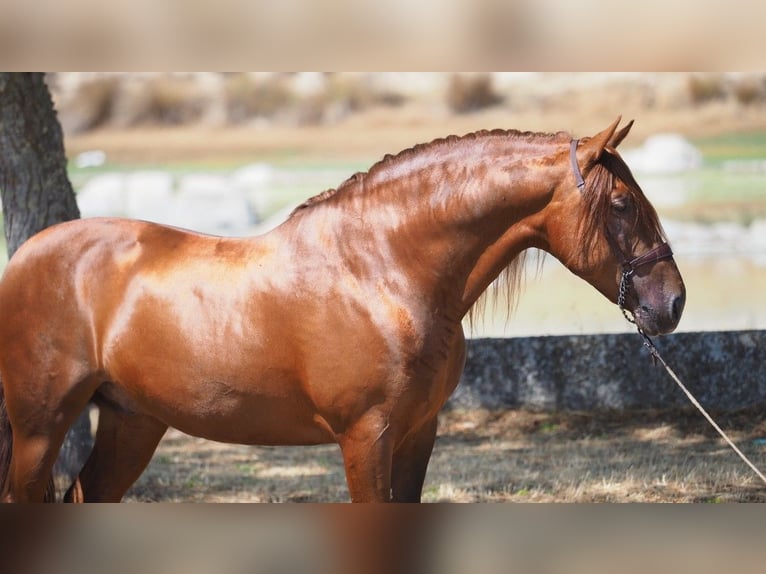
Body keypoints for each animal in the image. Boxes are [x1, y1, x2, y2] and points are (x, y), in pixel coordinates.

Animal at [0, 118, 688, 504]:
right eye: (622, 204)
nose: (673, 302)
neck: (383, 271)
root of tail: (24, 255)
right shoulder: (366, 437)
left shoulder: (417, 434)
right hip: (40, 428)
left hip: (132, 421)